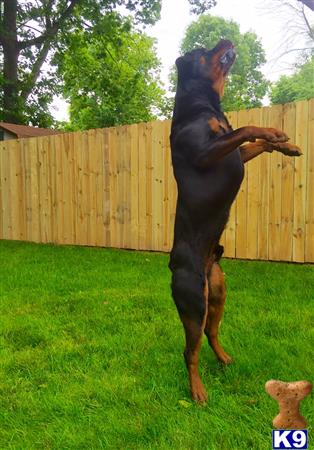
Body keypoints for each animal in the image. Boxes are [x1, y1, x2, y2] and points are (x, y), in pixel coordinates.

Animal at [169, 39, 302, 404]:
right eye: (203, 50)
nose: (226, 39)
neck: (204, 107)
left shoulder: (235, 153)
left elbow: (255, 142)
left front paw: (286, 144)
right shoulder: (206, 153)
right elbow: (247, 128)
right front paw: (273, 131)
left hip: (218, 293)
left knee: (211, 334)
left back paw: (224, 359)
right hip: (193, 301)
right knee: (190, 351)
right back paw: (198, 391)